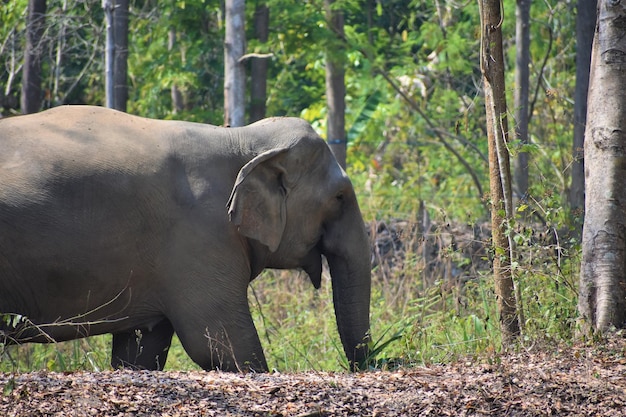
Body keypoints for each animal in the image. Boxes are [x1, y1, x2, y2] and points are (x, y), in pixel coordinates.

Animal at [0, 105, 370, 370]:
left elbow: (141, 351)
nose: (363, 363)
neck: (242, 138)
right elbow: (223, 344)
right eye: (340, 197)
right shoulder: (200, 235)